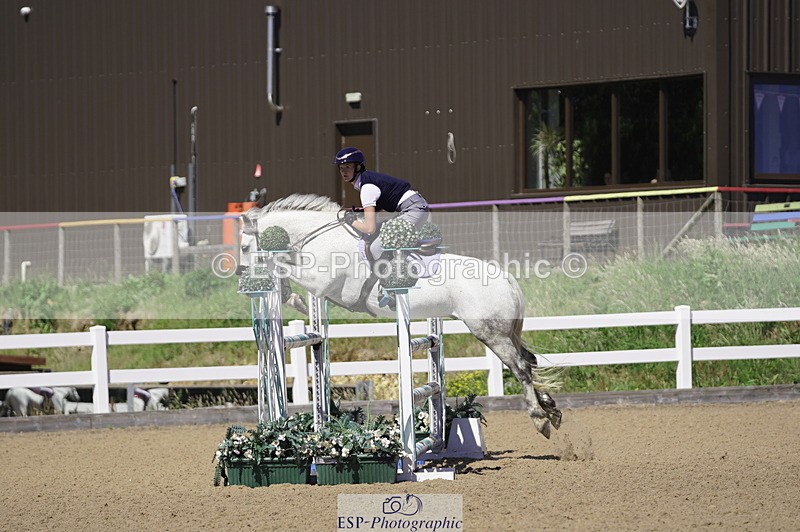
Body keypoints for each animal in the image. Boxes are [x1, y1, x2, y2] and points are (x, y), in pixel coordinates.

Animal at [240, 194, 562, 438]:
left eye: (243, 246)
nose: (241, 274)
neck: (320, 239)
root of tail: (506, 278)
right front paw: (290, 296)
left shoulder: (321, 283)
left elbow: (288, 272)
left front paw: (283, 288)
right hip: (505, 332)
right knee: (529, 362)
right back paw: (551, 408)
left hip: (491, 333)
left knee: (521, 367)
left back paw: (540, 419)